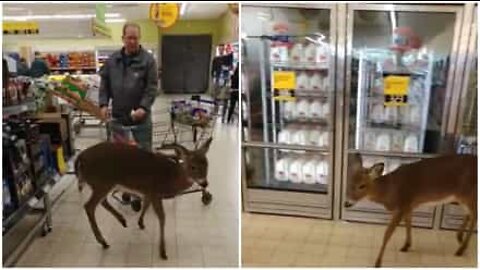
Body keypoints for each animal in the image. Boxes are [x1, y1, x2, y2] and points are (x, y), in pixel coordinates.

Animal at [74, 138, 212, 258]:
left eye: (207, 164)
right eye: (193, 166)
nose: (205, 183)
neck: (171, 177)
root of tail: (81, 156)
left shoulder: (148, 192)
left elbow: (146, 204)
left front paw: (140, 223)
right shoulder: (155, 192)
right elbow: (162, 218)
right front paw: (163, 251)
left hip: (101, 184)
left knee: (102, 202)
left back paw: (122, 221)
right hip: (102, 182)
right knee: (89, 206)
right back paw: (103, 241)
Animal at [344, 153, 476, 266]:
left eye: (362, 186)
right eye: (349, 182)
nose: (346, 203)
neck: (390, 190)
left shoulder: (401, 206)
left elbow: (387, 234)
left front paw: (377, 263)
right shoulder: (408, 206)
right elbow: (408, 223)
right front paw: (406, 246)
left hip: (467, 194)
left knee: (474, 216)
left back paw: (461, 249)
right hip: (462, 198)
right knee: (469, 214)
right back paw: (459, 237)